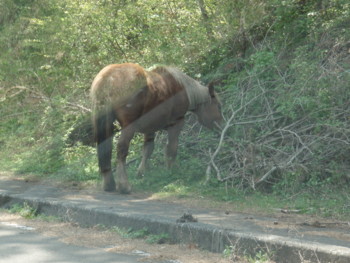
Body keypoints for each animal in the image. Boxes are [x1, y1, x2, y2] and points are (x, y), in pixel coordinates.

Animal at [90, 63, 221, 194]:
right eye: (218, 106)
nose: (221, 128)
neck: (184, 90)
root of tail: (108, 78)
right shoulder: (176, 124)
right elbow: (171, 148)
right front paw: (171, 170)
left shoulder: (150, 128)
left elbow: (148, 150)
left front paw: (142, 172)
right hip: (128, 126)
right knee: (121, 150)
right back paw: (124, 185)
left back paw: (109, 184)